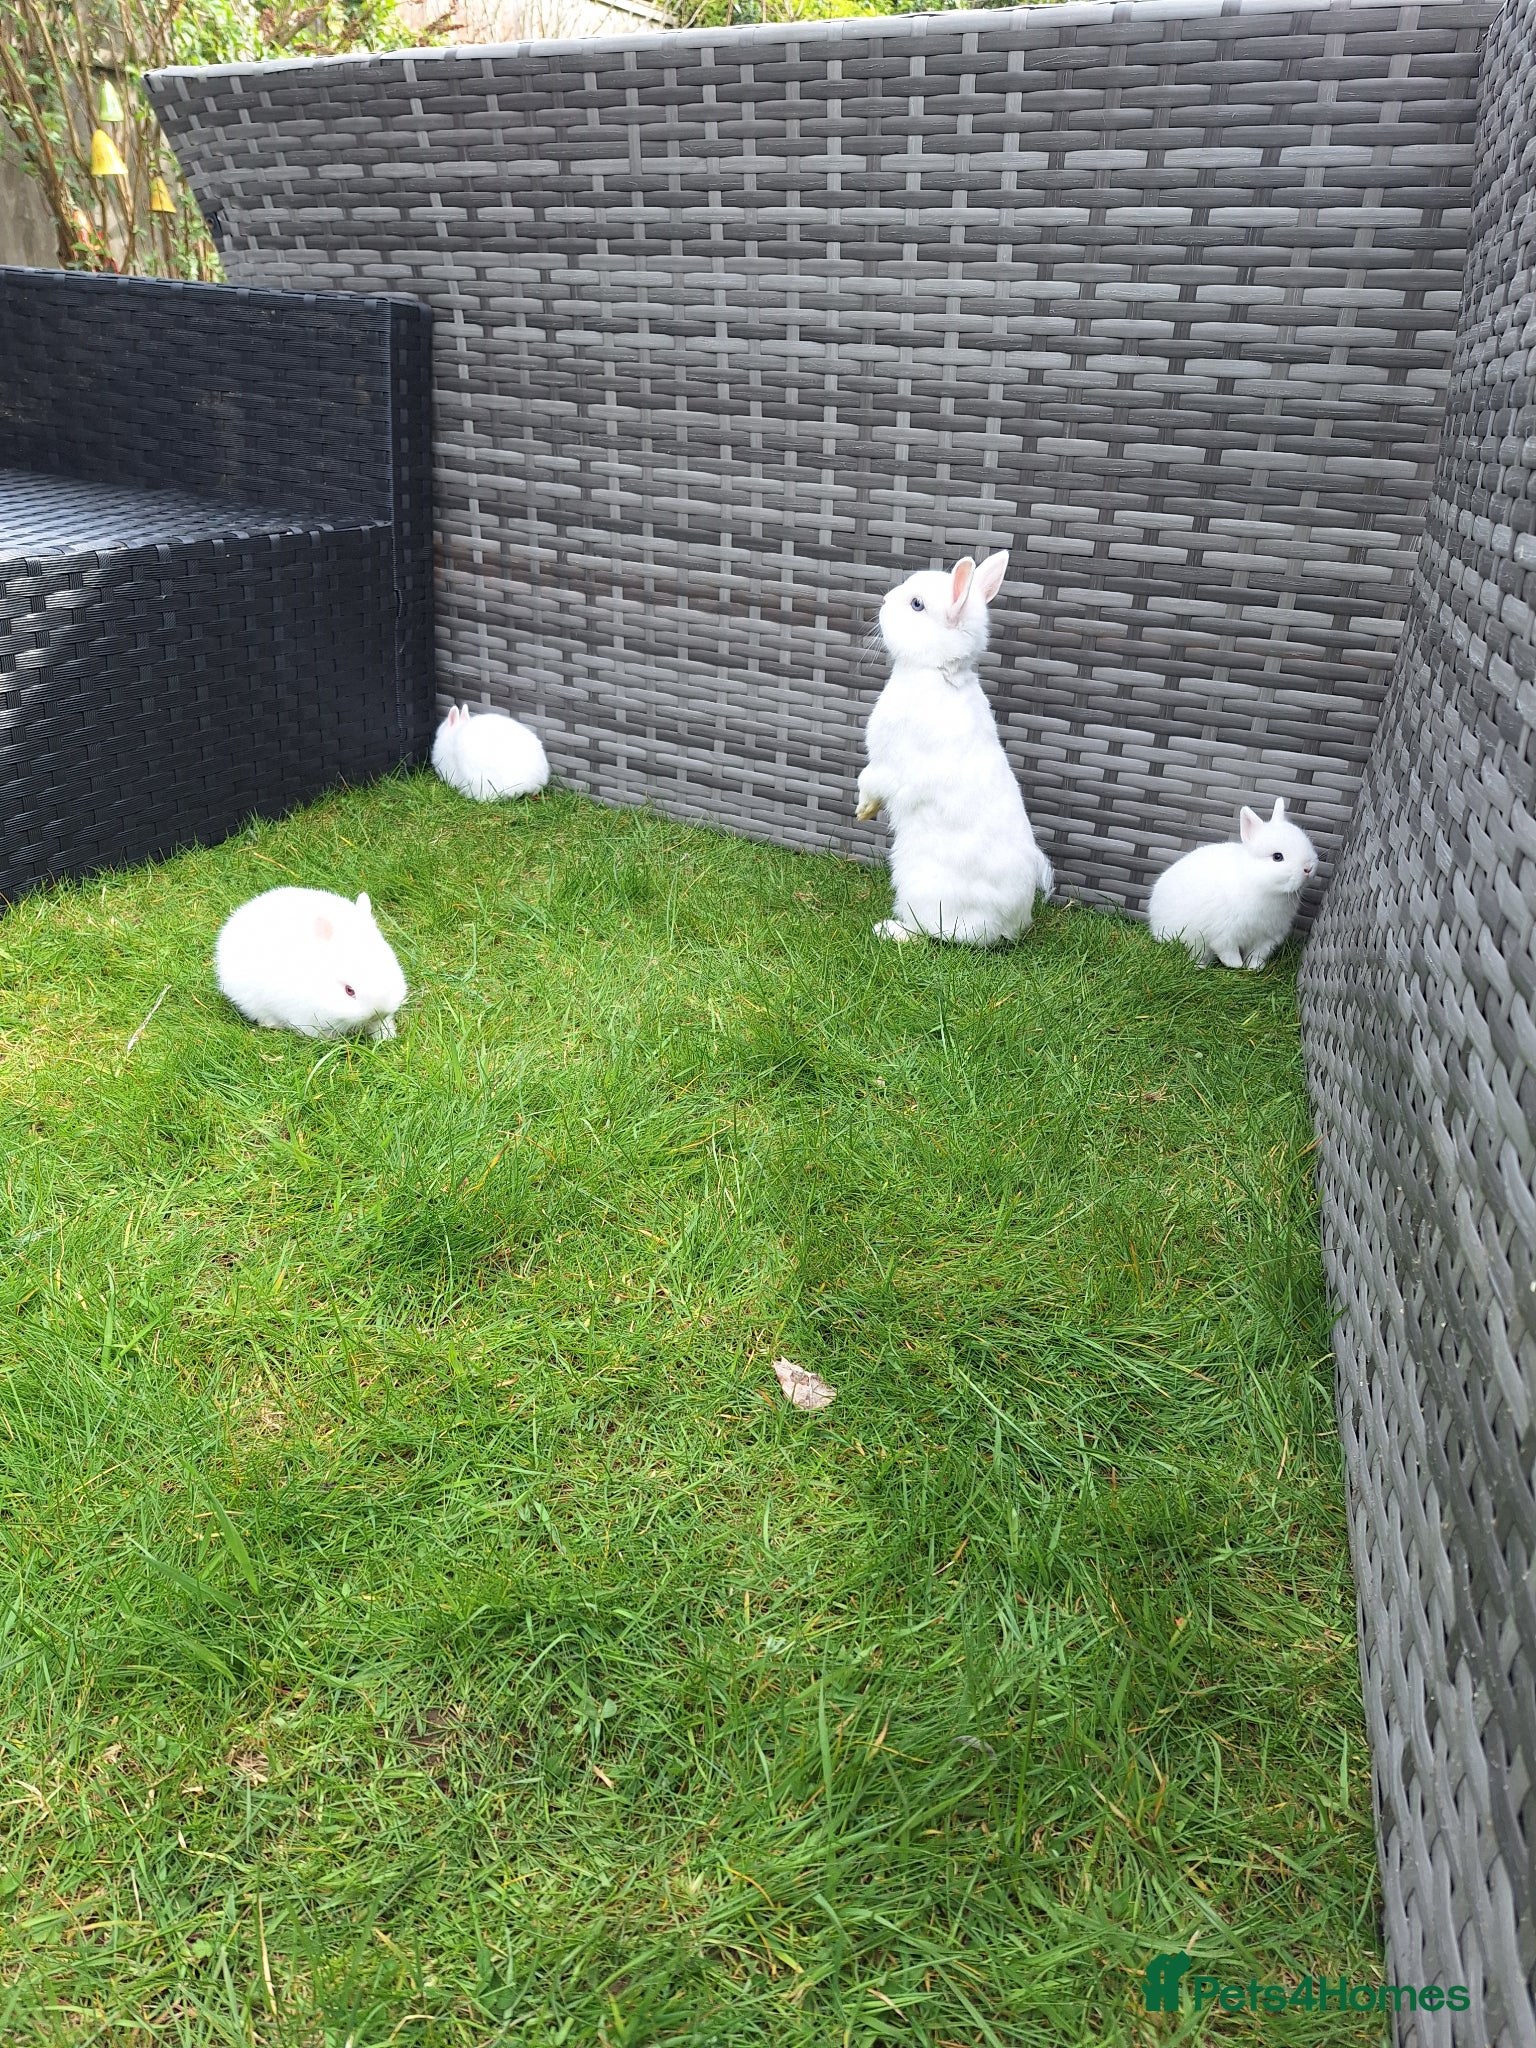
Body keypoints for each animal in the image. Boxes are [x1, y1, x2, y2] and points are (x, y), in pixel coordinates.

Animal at [855, 551, 1053, 944]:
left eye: (917, 604)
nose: (883, 600)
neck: (937, 673)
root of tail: (1004, 927)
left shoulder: (887, 765)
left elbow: (868, 781)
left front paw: (863, 811)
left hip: (918, 891)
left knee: (930, 934)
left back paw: (889, 930)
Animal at [1147, 798, 1318, 968]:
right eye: (1277, 857)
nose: (1308, 868)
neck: (1258, 884)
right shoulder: (1224, 935)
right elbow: (1228, 952)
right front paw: (1237, 965)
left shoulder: (1267, 937)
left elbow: (1257, 955)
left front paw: (1254, 969)